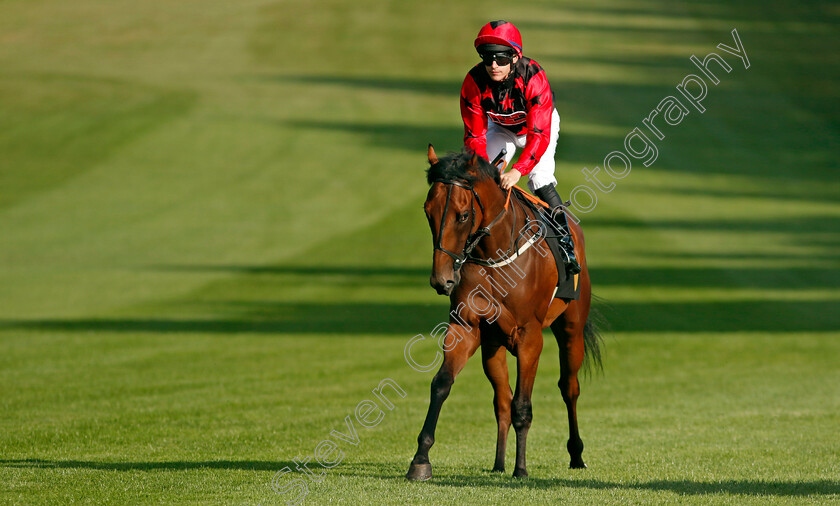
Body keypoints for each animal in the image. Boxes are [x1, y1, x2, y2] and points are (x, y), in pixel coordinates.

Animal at [406, 145, 604, 478]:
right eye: (426, 210)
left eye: (462, 215)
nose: (441, 280)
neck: (493, 254)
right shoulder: (466, 327)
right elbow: (442, 384)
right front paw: (420, 460)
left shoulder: (529, 337)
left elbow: (523, 405)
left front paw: (521, 469)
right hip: (493, 346)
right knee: (501, 399)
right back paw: (499, 463)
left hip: (571, 328)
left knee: (569, 387)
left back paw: (576, 454)